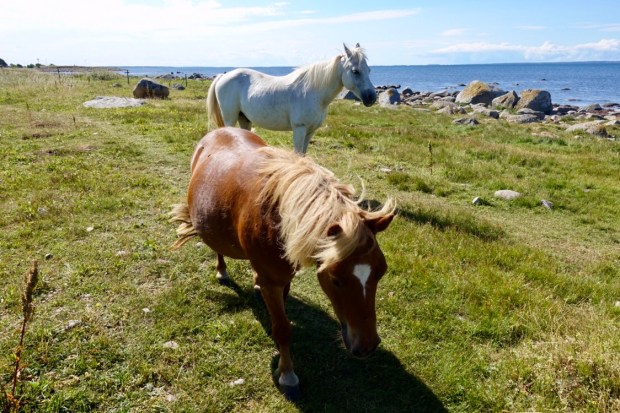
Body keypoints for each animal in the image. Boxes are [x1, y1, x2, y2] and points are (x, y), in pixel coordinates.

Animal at [170, 127, 395, 399]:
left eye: (381, 272)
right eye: (336, 280)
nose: (367, 346)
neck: (278, 216)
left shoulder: (284, 277)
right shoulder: (273, 282)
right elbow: (282, 328)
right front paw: (287, 374)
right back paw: (222, 271)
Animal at [206, 43, 377, 154]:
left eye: (369, 70)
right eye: (355, 71)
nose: (372, 97)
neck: (313, 92)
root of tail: (223, 76)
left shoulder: (310, 131)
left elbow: (303, 155)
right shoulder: (299, 129)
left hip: (245, 119)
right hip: (230, 118)